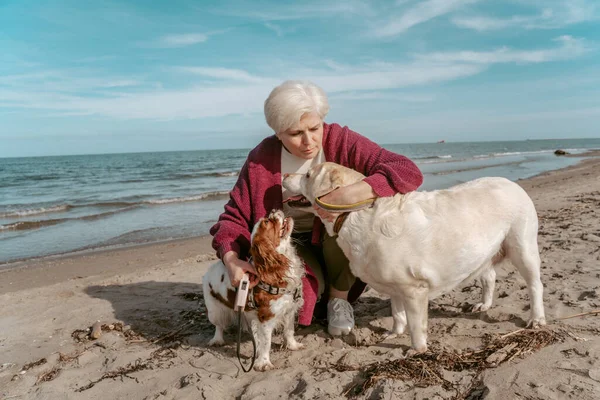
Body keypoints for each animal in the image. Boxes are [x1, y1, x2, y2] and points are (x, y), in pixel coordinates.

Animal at [284, 162, 548, 354]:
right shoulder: (395, 286)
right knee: (489, 276)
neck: (353, 213)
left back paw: (537, 318)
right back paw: (484, 304)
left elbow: (416, 324)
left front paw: (417, 349)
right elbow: (397, 313)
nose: (285, 174)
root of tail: (512, 184)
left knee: (536, 285)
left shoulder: (414, 289)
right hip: (482, 249)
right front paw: (395, 332)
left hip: (523, 247)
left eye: (307, 175)